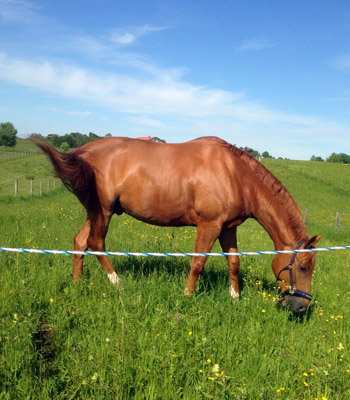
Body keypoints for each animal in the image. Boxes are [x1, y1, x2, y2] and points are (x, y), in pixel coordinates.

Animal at [31, 136, 322, 314]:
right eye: (304, 267)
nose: (301, 307)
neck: (236, 174)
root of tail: (83, 152)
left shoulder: (228, 227)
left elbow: (234, 262)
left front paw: (235, 298)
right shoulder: (209, 225)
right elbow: (198, 262)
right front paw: (187, 295)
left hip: (95, 212)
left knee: (80, 242)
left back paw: (77, 283)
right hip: (102, 210)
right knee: (96, 243)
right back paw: (117, 283)